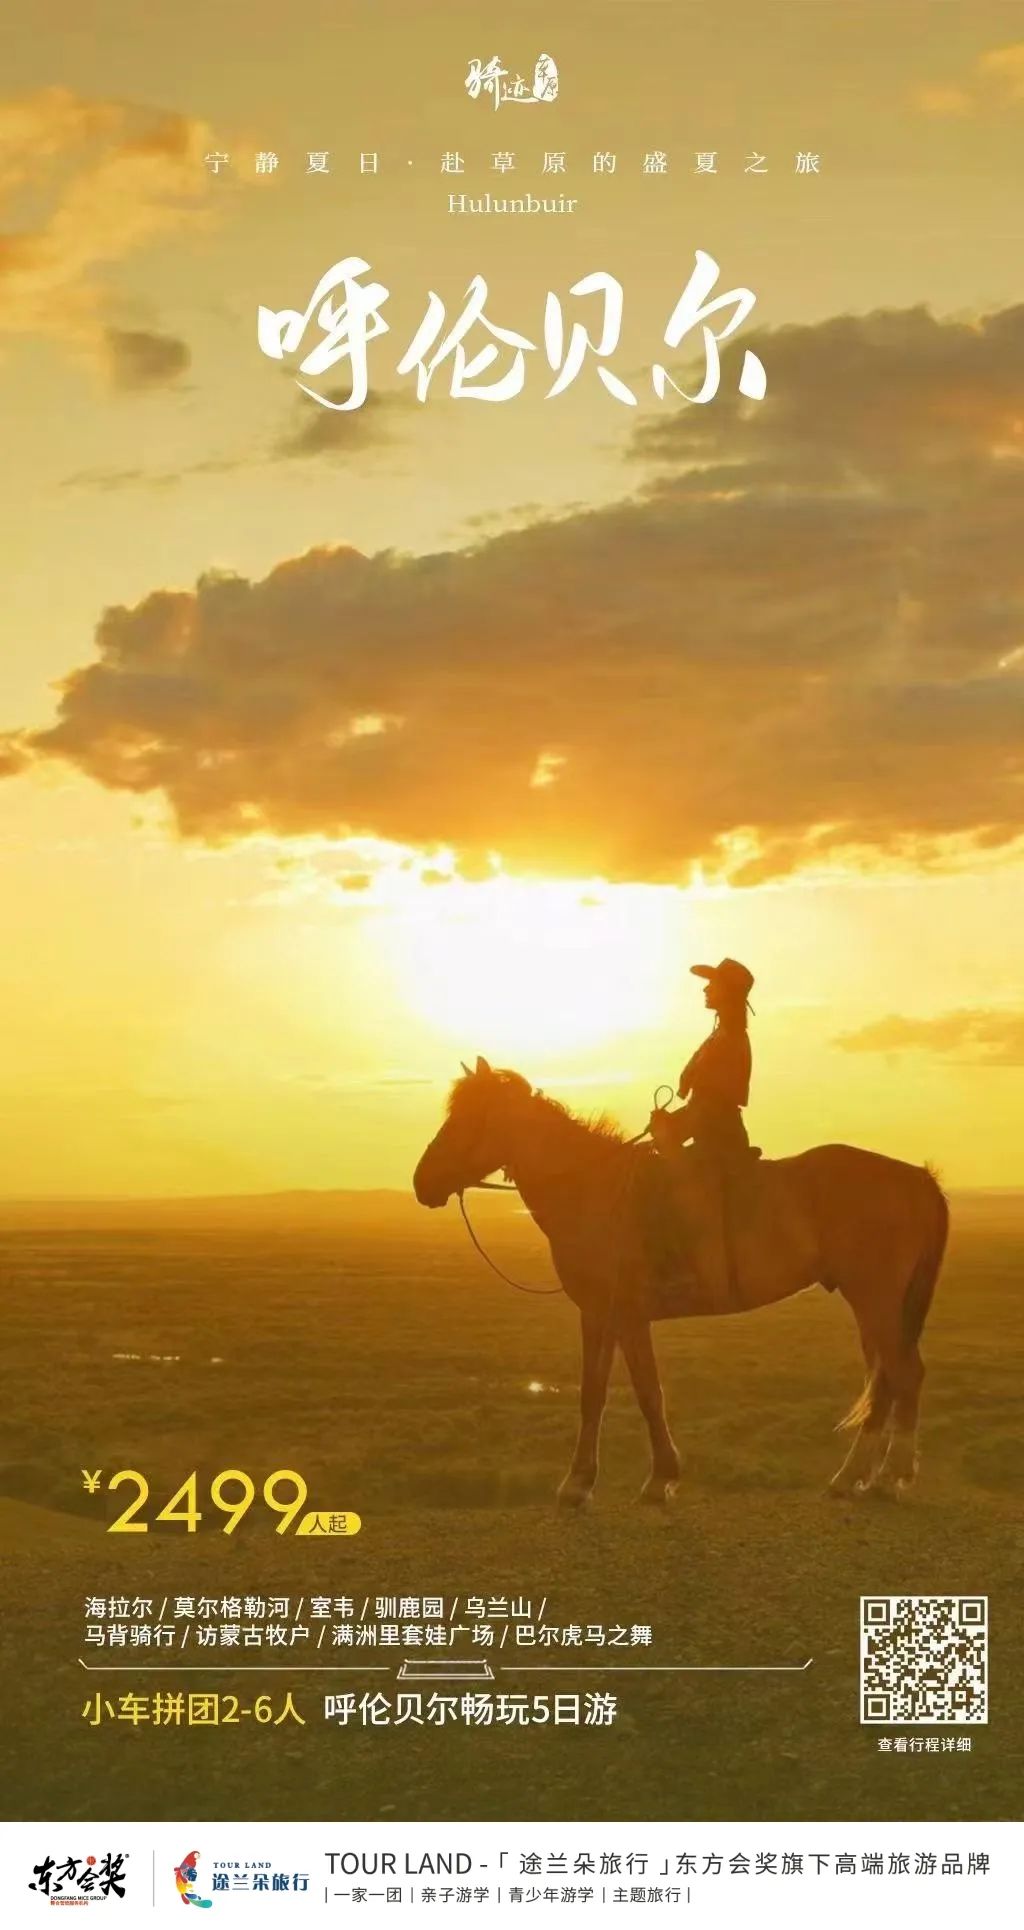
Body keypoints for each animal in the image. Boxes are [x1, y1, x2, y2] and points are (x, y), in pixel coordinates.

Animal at [412, 1057, 948, 1505]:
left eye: (467, 1119)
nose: (421, 1182)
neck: (594, 1189)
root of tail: (917, 1178)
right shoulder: (598, 1315)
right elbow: (592, 1395)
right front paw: (580, 1482)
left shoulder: (628, 1316)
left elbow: (649, 1393)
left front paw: (658, 1479)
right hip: (875, 1305)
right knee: (886, 1379)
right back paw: (858, 1476)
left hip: (875, 1299)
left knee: (903, 1373)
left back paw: (890, 1475)